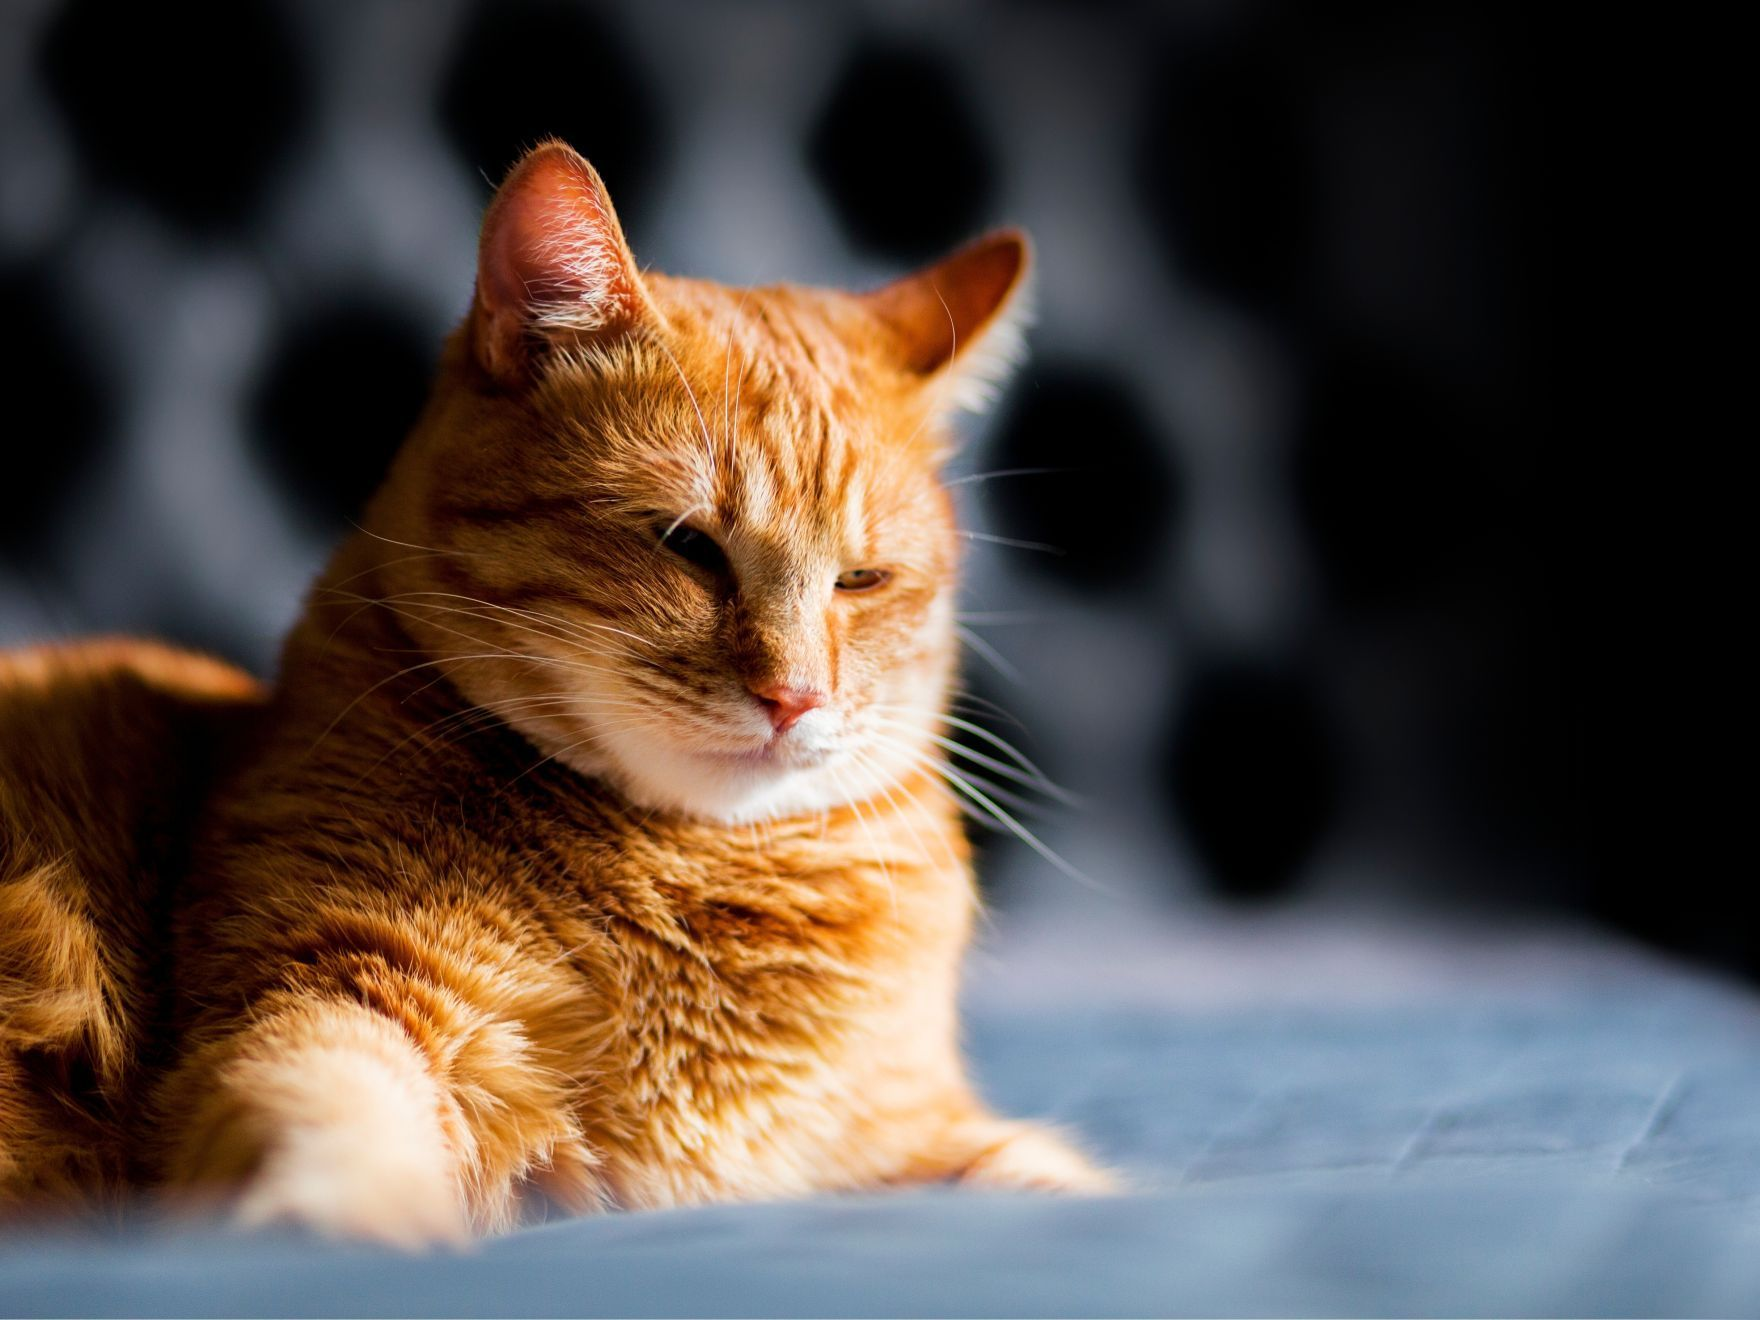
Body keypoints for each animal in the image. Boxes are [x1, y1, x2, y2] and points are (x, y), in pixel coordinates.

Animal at [0, 139, 1105, 1246]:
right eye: (687, 547)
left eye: (862, 581)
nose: (793, 695)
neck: (697, 873)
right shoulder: (315, 998)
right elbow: (329, 1114)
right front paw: (351, 1220)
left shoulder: (904, 1134)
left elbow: (1046, 1178)